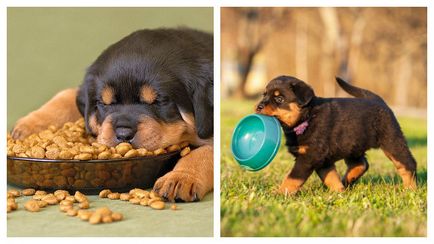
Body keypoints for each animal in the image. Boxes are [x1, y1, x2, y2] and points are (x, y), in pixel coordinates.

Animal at [10, 27, 214, 202]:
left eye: (159, 101)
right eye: (104, 103)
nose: (123, 134)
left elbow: (204, 151)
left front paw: (180, 178)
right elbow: (67, 94)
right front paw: (30, 126)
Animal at [256, 75, 416, 195]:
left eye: (279, 99)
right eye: (264, 95)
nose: (259, 106)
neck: (307, 117)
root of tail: (378, 100)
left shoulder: (309, 156)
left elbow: (292, 178)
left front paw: (279, 193)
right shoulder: (322, 160)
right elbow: (331, 177)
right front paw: (339, 192)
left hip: (391, 140)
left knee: (407, 164)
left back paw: (410, 189)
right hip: (353, 144)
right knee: (361, 164)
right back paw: (347, 180)